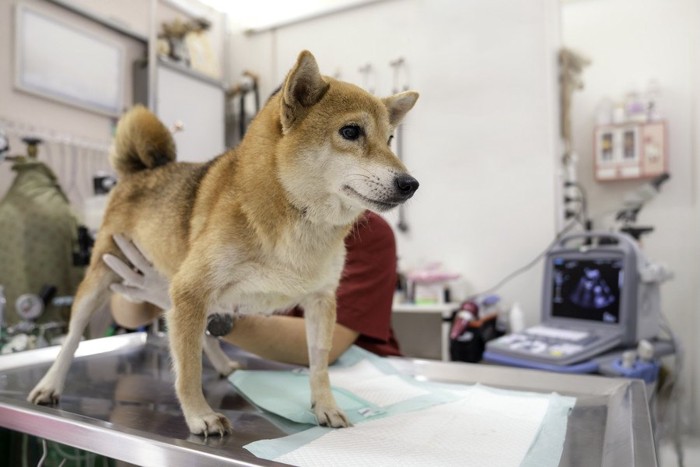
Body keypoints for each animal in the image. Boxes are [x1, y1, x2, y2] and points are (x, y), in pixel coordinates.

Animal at [30, 50, 418, 436]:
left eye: (390, 139)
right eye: (350, 131)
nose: (410, 184)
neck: (298, 218)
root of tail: (140, 171)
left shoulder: (321, 300)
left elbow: (319, 365)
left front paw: (326, 406)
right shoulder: (191, 289)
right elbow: (188, 369)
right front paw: (199, 415)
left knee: (197, 335)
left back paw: (224, 364)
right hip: (104, 279)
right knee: (73, 339)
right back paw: (50, 384)